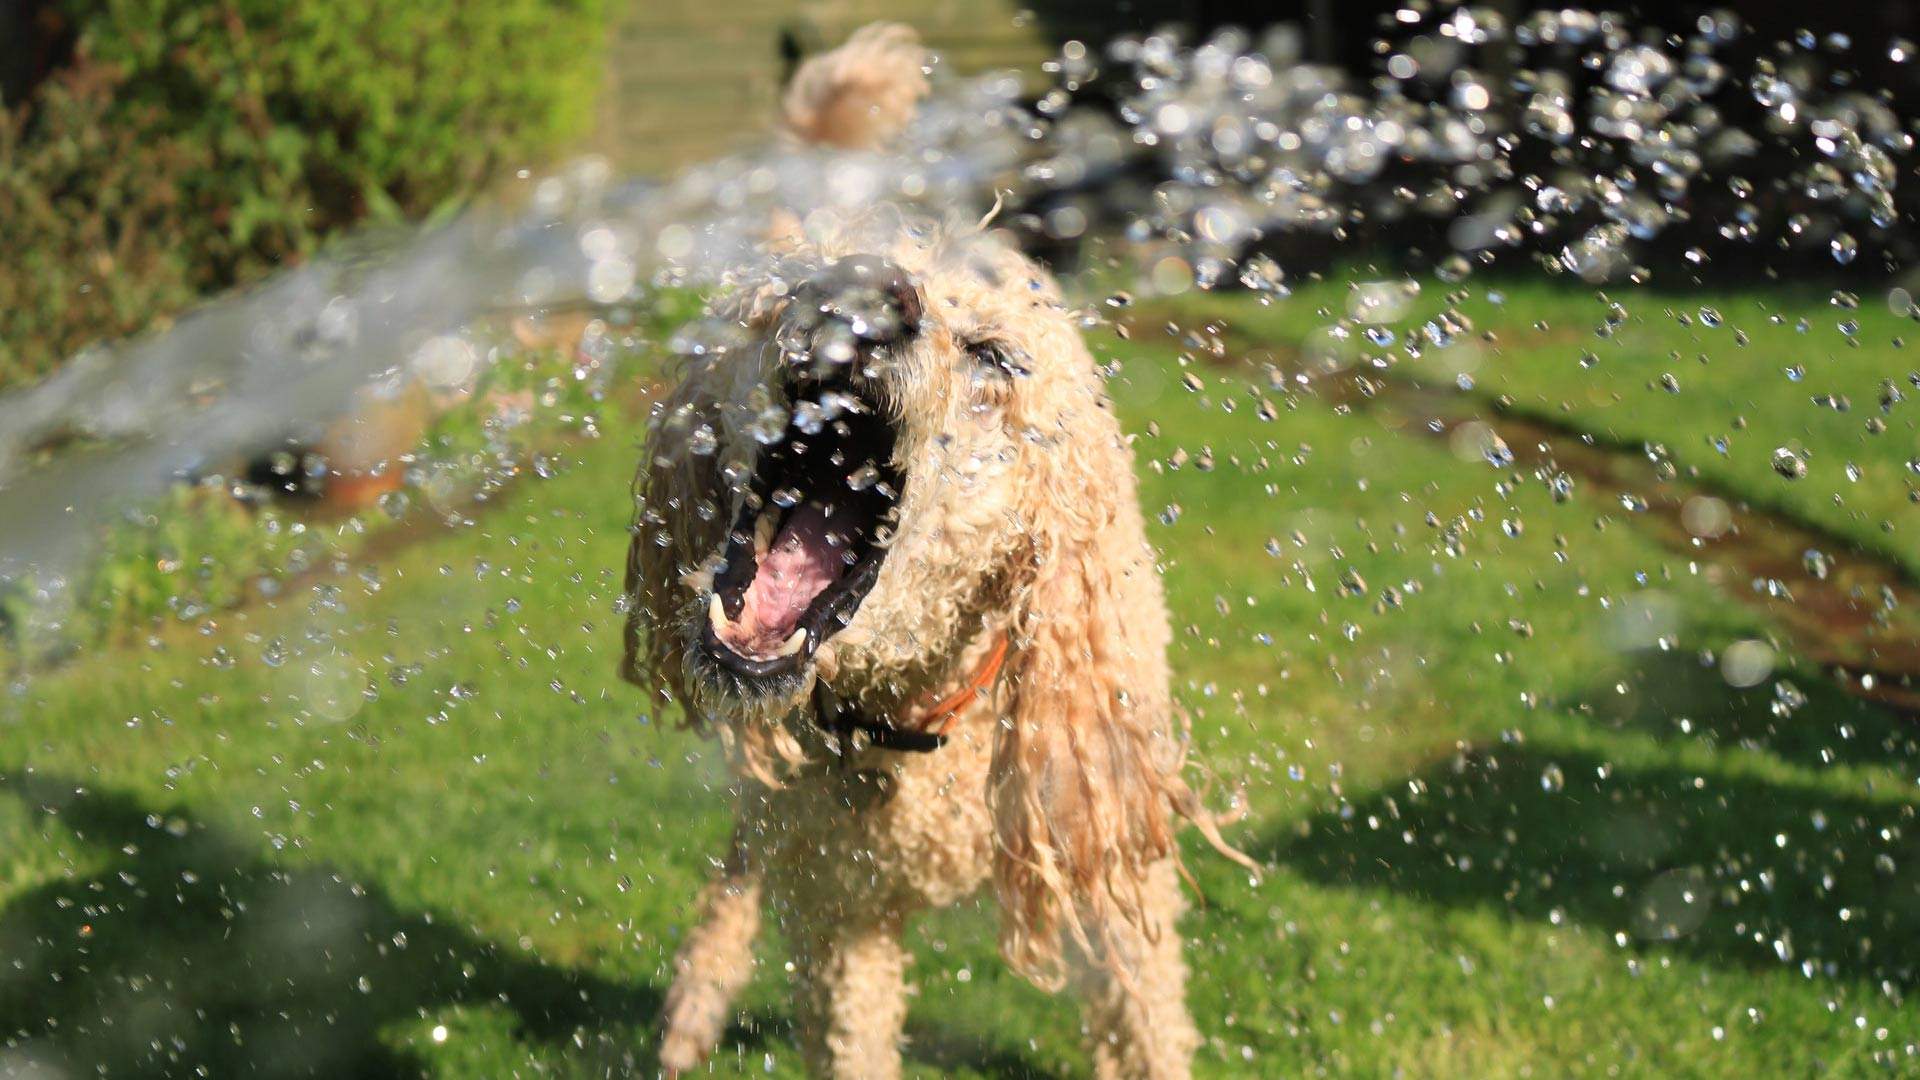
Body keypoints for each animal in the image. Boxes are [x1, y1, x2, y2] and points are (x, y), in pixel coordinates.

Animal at [618, 25, 1244, 1076]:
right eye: (782, 294)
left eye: (994, 357)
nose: (858, 292)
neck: (914, 714)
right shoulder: (841, 919)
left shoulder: (1113, 868)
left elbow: (1148, 1025)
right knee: (745, 857)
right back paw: (697, 999)